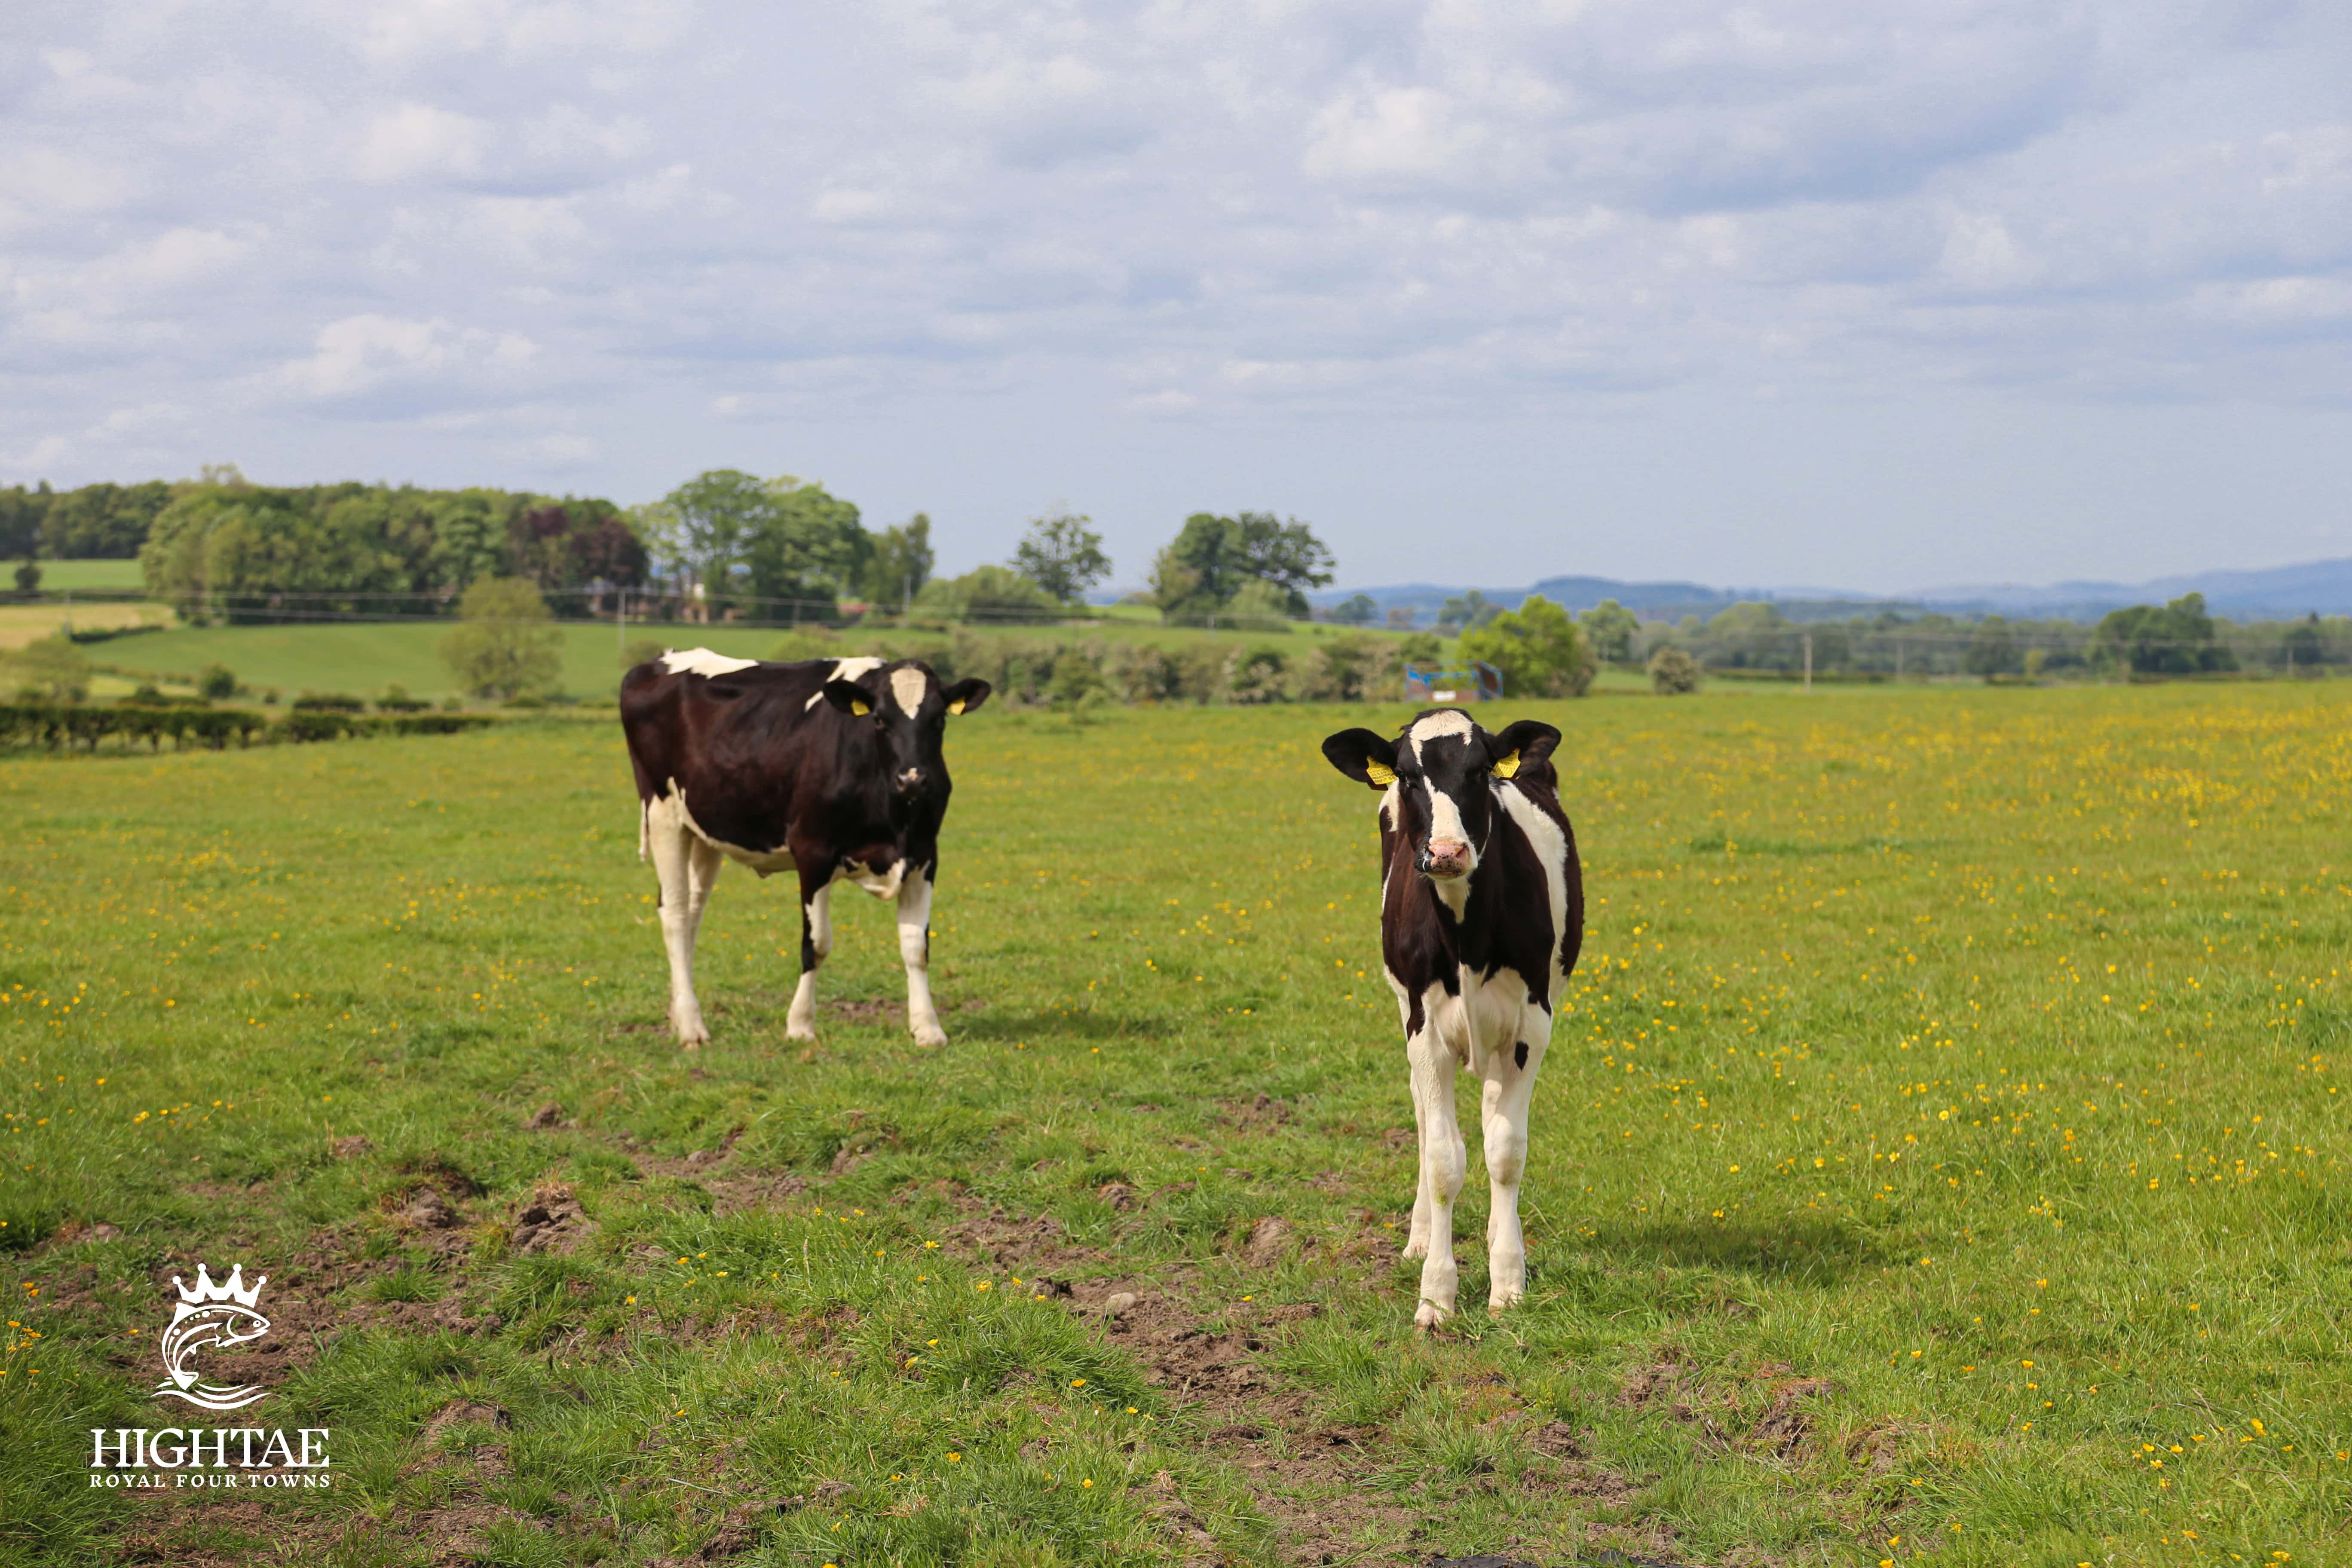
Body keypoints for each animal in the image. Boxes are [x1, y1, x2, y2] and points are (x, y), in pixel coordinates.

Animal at [619, 649, 991, 1048]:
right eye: (879, 719)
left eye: (939, 720)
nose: (913, 779)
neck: (894, 819)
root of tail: (662, 660)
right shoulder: (814, 853)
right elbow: (817, 943)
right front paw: (800, 1025)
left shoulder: (923, 856)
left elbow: (917, 947)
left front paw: (928, 1028)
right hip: (663, 813)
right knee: (674, 913)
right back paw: (691, 1027)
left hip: (705, 828)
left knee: (692, 912)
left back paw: (679, 1014)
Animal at [1321, 708, 1583, 1327]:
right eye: (1408, 775)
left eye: (1481, 771)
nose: (1445, 853)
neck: (1467, 933)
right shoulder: (1425, 1027)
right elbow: (1443, 1157)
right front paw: (1436, 1293)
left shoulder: (1532, 1024)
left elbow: (1505, 1151)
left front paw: (1508, 1279)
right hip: (1404, 1008)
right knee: (1423, 1117)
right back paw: (1419, 1238)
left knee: (1490, 1117)